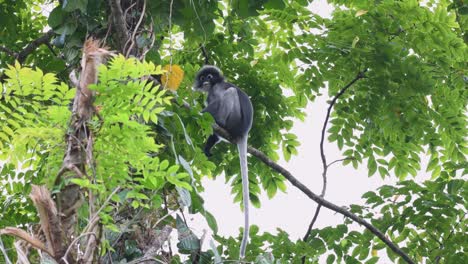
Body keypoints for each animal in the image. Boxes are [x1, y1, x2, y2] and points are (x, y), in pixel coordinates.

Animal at [193, 65, 252, 258]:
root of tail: (244, 132)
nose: (206, 80)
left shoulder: (216, 90)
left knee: (230, 93)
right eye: (203, 76)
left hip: (234, 120)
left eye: (210, 76)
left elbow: (216, 101)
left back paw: (218, 122)